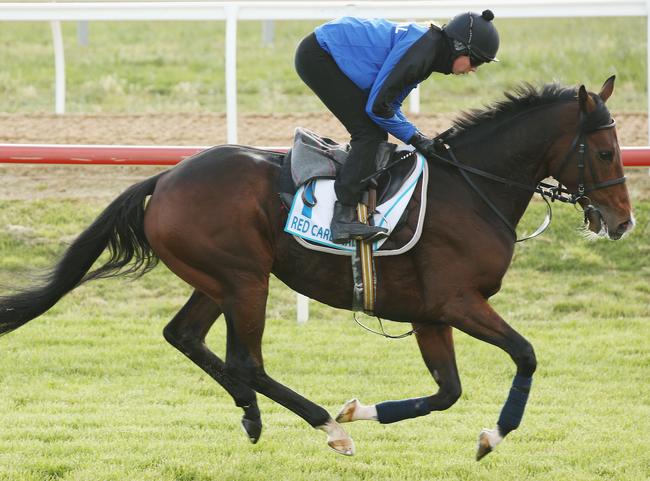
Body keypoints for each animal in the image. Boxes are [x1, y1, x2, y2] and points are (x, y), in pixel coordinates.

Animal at [0, 77, 632, 460]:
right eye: (604, 152)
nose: (623, 221)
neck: (472, 189)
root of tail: (167, 176)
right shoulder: (457, 302)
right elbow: (525, 354)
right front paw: (491, 436)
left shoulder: (430, 315)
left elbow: (447, 391)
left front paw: (361, 409)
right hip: (245, 279)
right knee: (246, 360)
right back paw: (324, 425)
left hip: (220, 279)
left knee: (185, 335)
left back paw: (254, 416)